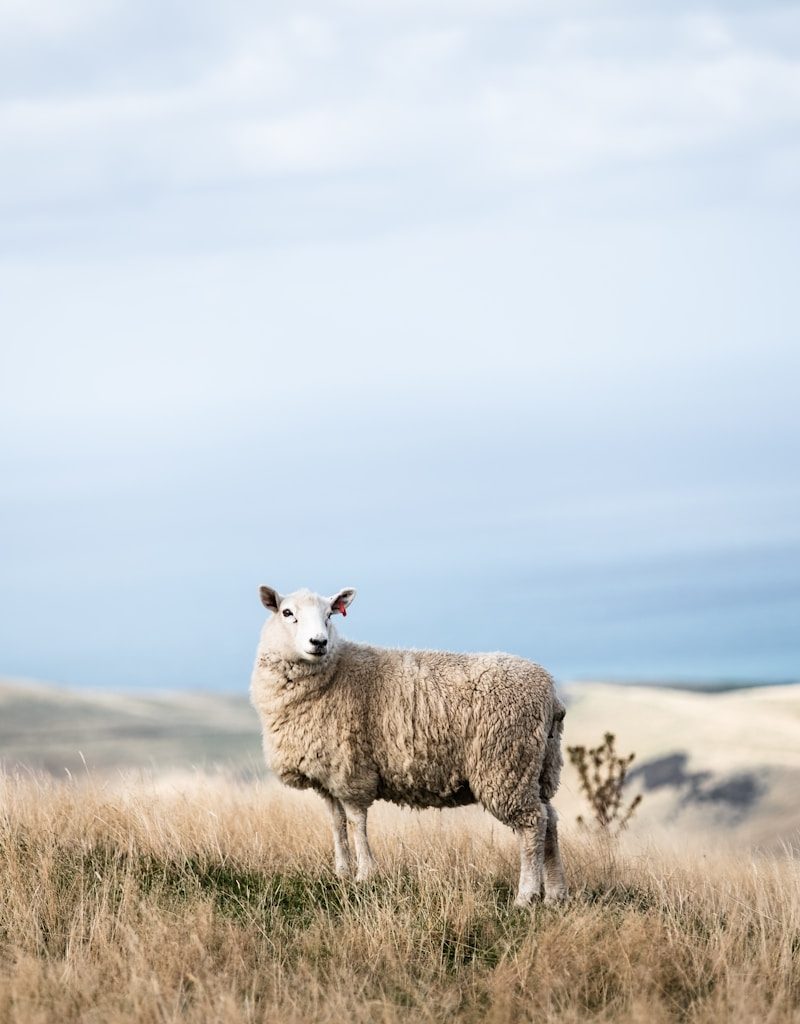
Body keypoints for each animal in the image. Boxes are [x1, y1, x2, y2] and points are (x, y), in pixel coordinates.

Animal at [250, 585, 567, 906]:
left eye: (329, 615)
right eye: (287, 613)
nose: (319, 642)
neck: (335, 671)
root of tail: (550, 693)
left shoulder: (352, 771)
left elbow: (356, 822)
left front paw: (365, 875)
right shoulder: (327, 776)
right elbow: (337, 823)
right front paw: (341, 873)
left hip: (506, 764)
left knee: (532, 824)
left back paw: (526, 896)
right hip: (539, 767)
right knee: (549, 819)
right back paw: (555, 894)